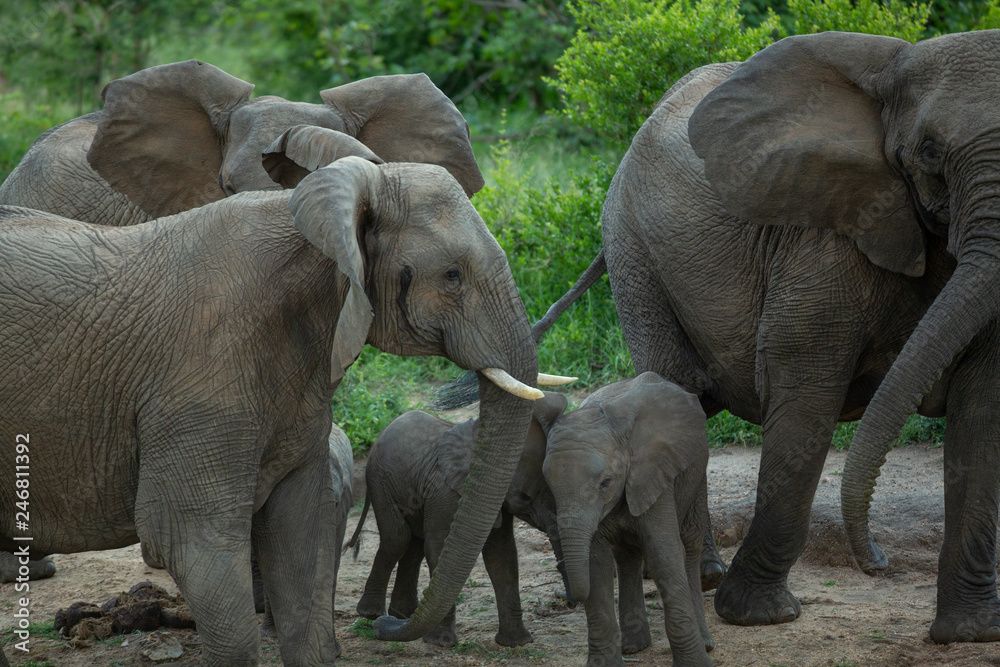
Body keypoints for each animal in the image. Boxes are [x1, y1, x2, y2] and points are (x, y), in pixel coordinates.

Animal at [347, 391, 570, 647]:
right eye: (528, 497)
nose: (568, 599)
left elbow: (502, 556)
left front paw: (517, 643)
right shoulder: (447, 494)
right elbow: (439, 547)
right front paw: (441, 643)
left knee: (414, 547)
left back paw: (401, 616)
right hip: (381, 483)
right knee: (398, 539)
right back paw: (372, 614)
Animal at [543, 372, 712, 667]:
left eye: (605, 482)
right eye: (549, 486)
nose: (570, 600)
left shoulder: (654, 475)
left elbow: (664, 555)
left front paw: (696, 664)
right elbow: (596, 563)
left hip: (695, 470)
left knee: (690, 544)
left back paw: (705, 643)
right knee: (627, 554)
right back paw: (634, 647)